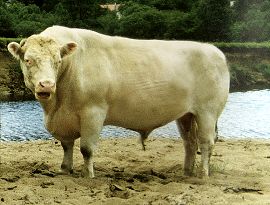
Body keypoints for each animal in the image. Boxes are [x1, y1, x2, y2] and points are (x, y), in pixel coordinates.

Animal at [7, 25, 229, 178]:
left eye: (58, 61)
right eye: (28, 60)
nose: (46, 85)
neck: (57, 105)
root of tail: (214, 51)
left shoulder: (93, 112)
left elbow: (86, 148)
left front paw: (88, 176)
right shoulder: (65, 119)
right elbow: (66, 146)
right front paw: (65, 170)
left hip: (207, 112)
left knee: (206, 143)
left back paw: (202, 175)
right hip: (186, 115)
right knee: (190, 143)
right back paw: (186, 173)